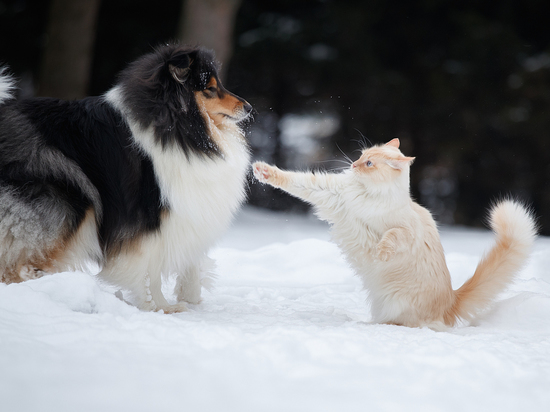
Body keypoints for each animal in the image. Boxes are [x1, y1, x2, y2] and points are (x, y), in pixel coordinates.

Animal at [0, 44, 253, 312]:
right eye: (210, 88)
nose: (249, 107)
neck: (176, 127)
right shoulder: (148, 217)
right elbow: (149, 268)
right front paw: (160, 307)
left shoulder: (187, 208)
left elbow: (191, 258)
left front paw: (190, 295)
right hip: (65, 203)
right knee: (17, 266)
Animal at [254, 140, 540, 330]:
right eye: (362, 156)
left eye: (369, 163)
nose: (354, 164)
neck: (366, 196)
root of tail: (451, 299)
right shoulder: (331, 193)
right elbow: (294, 180)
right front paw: (262, 171)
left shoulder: (405, 229)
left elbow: (391, 236)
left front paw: (380, 252)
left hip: (397, 303)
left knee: (404, 324)